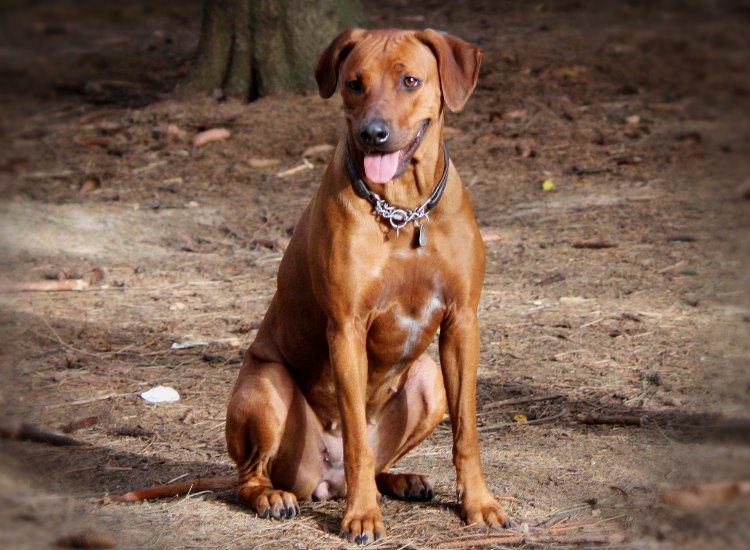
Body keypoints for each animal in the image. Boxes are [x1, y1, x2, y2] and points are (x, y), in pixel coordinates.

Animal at [119, 28, 512, 544]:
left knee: (378, 458)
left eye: (410, 80)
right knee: (254, 475)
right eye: (354, 83)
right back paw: (274, 497)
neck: (403, 210)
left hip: (428, 379)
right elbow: (356, 442)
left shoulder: (462, 322)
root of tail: (323, 482)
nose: (372, 134)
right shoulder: (346, 329)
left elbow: (466, 432)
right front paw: (362, 516)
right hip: (266, 385)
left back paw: (400, 479)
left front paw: (479, 503)